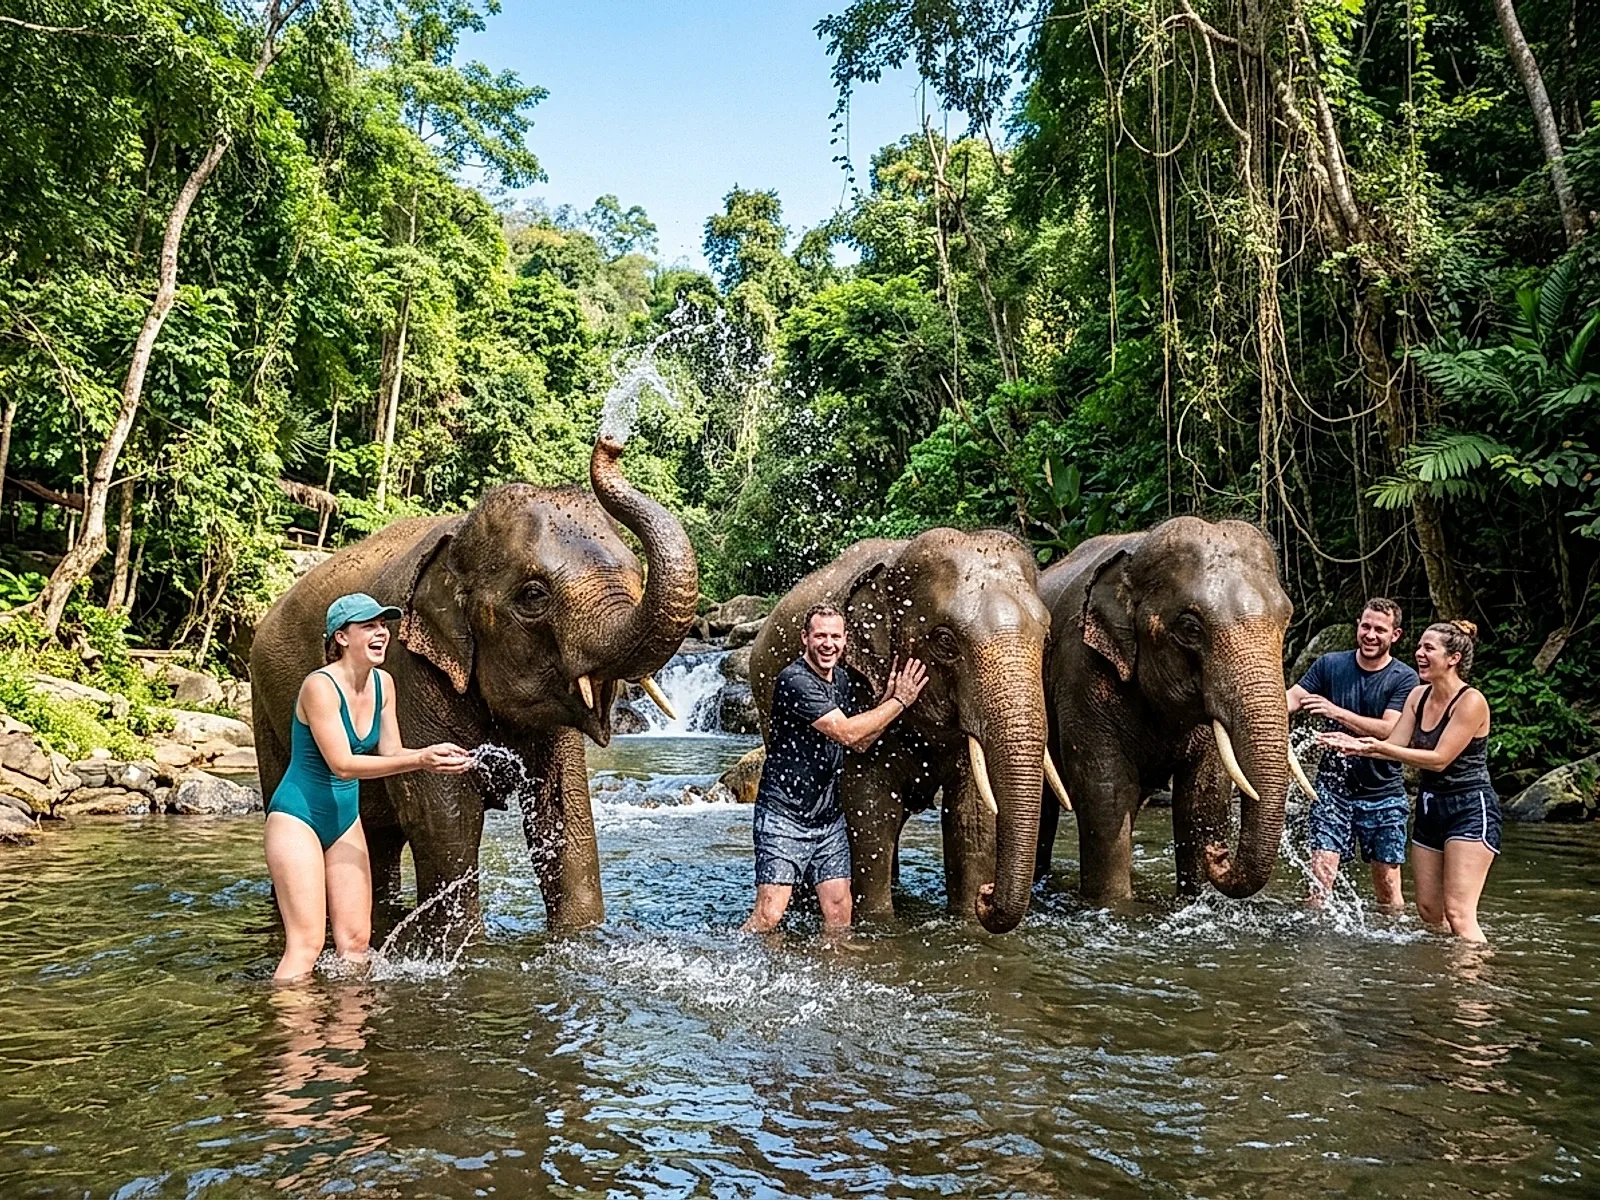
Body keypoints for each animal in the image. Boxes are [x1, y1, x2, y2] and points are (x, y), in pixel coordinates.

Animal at [251, 438, 698, 936]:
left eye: (637, 576)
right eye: (533, 595)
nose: (611, 440)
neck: (458, 534)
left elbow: (564, 808)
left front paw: (580, 933)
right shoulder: (409, 669)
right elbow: (447, 816)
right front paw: (459, 941)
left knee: (377, 840)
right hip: (264, 709)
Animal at [750, 529, 1067, 934]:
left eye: (1046, 637)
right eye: (945, 640)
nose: (988, 894)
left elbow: (972, 817)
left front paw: (968, 918)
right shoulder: (859, 690)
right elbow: (870, 812)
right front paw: (879, 923)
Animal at [1035, 515, 1312, 904]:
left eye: (1287, 619)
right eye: (1190, 628)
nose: (1219, 854)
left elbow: (1203, 795)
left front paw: (1194, 898)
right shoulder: (1082, 672)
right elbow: (1105, 792)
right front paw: (1114, 905)